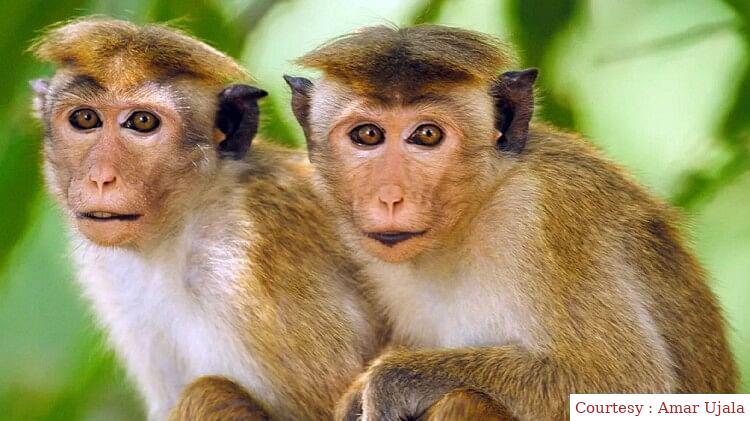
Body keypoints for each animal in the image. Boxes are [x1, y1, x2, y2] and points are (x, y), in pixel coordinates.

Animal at [30, 18, 386, 420]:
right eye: (85, 118)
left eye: (142, 122)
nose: (101, 177)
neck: (180, 231)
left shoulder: (250, 262)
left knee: (209, 392)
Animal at [284, 25, 739, 420]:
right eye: (367, 135)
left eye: (427, 135)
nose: (390, 196)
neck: (473, 215)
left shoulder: (550, 214)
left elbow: (625, 384)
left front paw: (390, 381)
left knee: (465, 398)